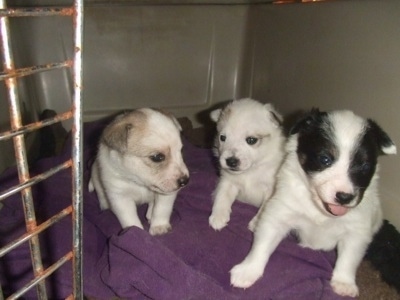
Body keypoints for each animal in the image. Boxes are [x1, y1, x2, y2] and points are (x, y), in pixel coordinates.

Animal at [208, 98, 286, 230]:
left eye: (251, 140)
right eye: (222, 138)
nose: (231, 161)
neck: (251, 170)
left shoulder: (271, 189)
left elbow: (265, 207)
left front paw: (258, 223)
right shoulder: (228, 181)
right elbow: (222, 196)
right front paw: (218, 216)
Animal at [231, 108, 396, 298]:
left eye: (364, 166)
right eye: (325, 159)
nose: (344, 197)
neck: (319, 209)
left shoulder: (356, 231)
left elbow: (349, 258)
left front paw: (344, 283)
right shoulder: (280, 212)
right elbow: (262, 244)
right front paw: (248, 270)